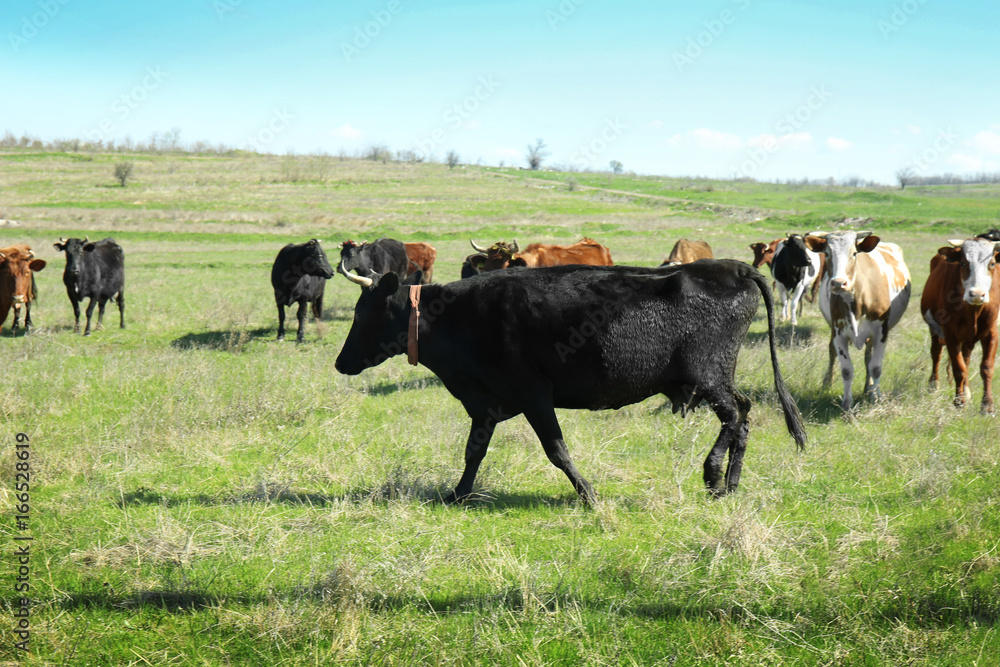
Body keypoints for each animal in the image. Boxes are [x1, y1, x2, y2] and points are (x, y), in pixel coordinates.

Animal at [336, 261, 806, 504]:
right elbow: (474, 451)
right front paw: (459, 493)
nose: (340, 363)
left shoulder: (533, 395)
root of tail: (733, 267)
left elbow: (556, 450)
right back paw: (731, 484)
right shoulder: (486, 402)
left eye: (362, 312)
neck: (459, 314)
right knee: (743, 416)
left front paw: (588, 494)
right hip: (718, 376)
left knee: (737, 414)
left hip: (708, 375)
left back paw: (712, 476)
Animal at [804, 231, 911, 411]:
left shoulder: (881, 332)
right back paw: (828, 383)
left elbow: (875, 367)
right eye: (827, 253)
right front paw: (847, 403)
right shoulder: (839, 332)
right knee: (832, 352)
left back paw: (868, 388)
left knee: (868, 358)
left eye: (854, 253)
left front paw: (876, 397)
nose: (838, 283)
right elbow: (846, 369)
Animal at [920, 237, 1000, 413]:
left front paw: (987, 406)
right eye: (963, 263)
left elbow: (986, 367)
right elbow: (959, 369)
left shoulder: (991, 332)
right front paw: (959, 402)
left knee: (966, 357)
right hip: (935, 330)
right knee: (936, 353)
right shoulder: (950, 334)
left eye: (991, 264)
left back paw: (968, 392)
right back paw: (933, 385)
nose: (976, 294)